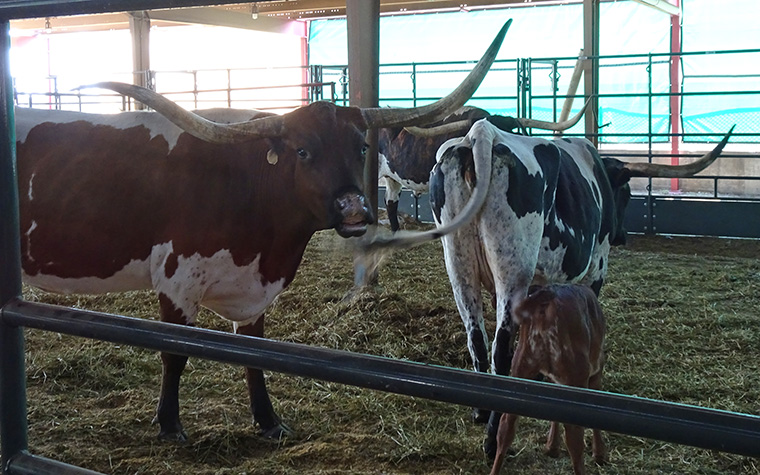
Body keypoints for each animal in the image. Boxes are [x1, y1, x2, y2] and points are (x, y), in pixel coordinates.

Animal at [490, 284, 608, 474]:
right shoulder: (596, 369)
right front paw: (599, 455)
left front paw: (552, 447)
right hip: (577, 374)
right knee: (574, 439)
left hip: (521, 364)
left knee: (506, 425)